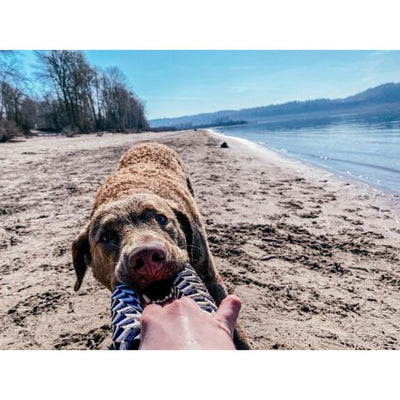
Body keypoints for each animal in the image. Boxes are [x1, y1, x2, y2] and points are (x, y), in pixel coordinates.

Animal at [70, 142, 248, 348]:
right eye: (105, 236)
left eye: (161, 218)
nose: (146, 256)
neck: (127, 192)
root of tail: (148, 142)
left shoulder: (210, 277)